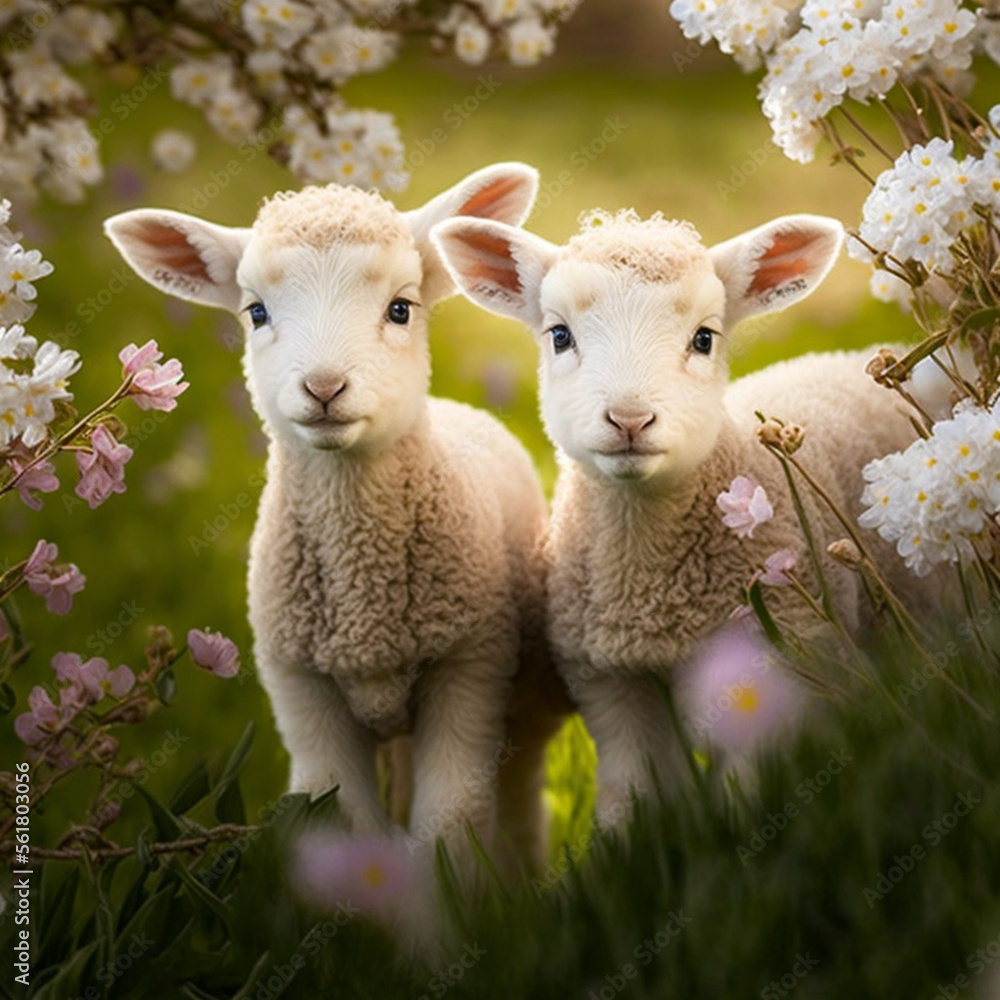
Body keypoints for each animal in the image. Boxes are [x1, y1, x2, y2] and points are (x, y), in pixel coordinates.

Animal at [103, 163, 570, 873]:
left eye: (401, 308)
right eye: (256, 311)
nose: (324, 389)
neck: (363, 603)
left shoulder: (469, 667)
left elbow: (452, 819)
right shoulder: (301, 688)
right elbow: (347, 822)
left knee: (517, 791)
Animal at [431, 206, 942, 823]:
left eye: (703, 338)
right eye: (560, 335)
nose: (629, 419)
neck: (656, 598)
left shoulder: (777, 666)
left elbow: (744, 790)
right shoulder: (613, 681)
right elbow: (631, 795)